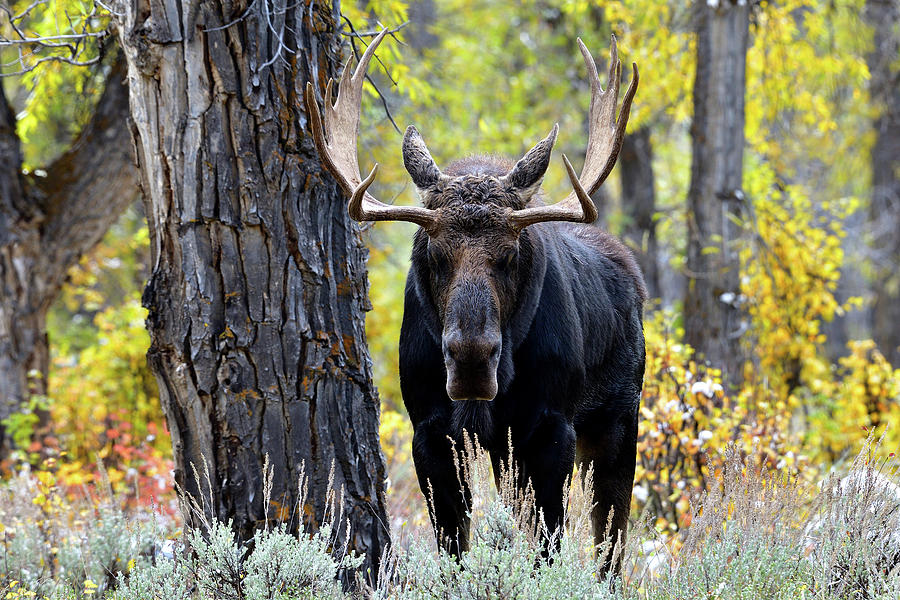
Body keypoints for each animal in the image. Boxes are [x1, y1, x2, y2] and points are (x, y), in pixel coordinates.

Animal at [306, 30, 644, 568]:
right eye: (435, 255)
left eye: (510, 254)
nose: (469, 360)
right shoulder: (431, 431)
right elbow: (453, 547)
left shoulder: (552, 428)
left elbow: (548, 547)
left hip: (618, 419)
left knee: (610, 539)